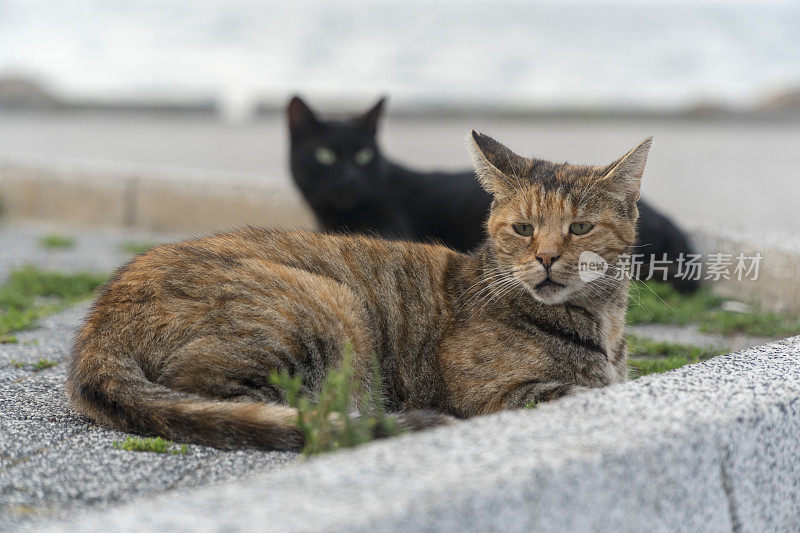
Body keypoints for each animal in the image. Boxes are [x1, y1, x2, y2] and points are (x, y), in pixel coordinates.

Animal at [65, 133, 648, 448]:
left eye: (580, 228)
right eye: (524, 230)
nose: (546, 258)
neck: (601, 322)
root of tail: (102, 315)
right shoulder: (494, 397)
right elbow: (585, 390)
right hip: (326, 306)